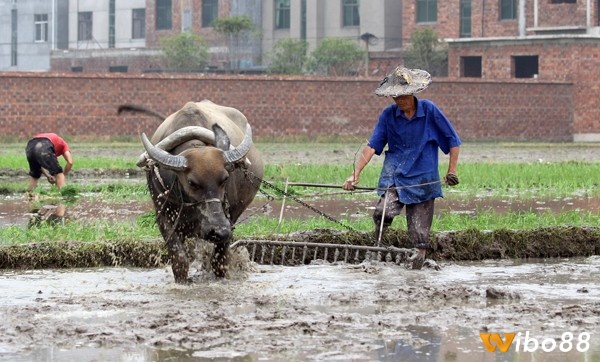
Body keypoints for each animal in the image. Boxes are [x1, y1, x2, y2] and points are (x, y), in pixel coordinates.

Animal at [119, 99, 262, 282]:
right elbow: (179, 259)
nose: (218, 230)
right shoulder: (164, 217)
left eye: (225, 178)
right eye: (192, 182)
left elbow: (219, 261)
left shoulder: (229, 218)